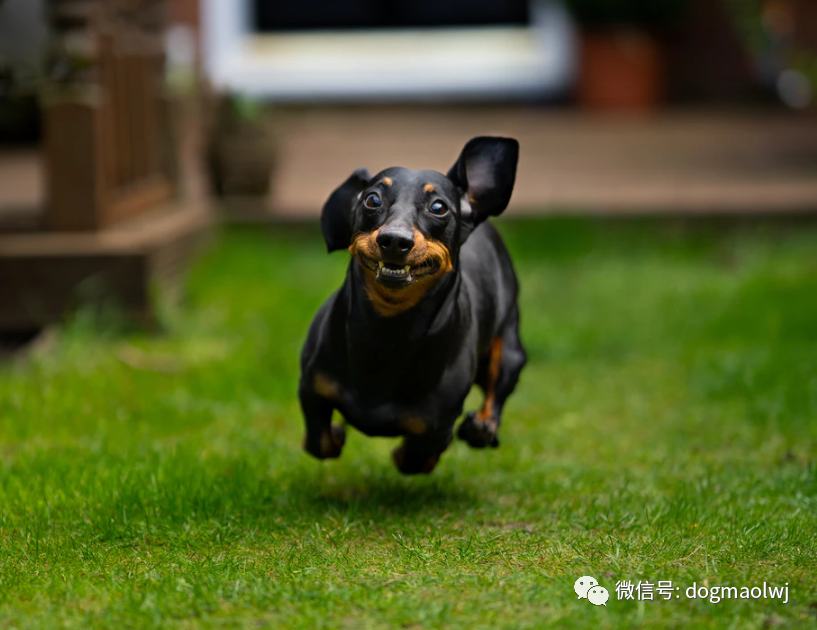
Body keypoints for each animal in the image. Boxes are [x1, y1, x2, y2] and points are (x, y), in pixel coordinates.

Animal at [298, 137, 524, 474]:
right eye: (372, 199)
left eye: (438, 207)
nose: (394, 240)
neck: (388, 329)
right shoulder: (312, 388)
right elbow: (319, 441)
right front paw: (335, 434)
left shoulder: (439, 422)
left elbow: (417, 457)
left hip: (510, 349)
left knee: (496, 393)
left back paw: (482, 427)